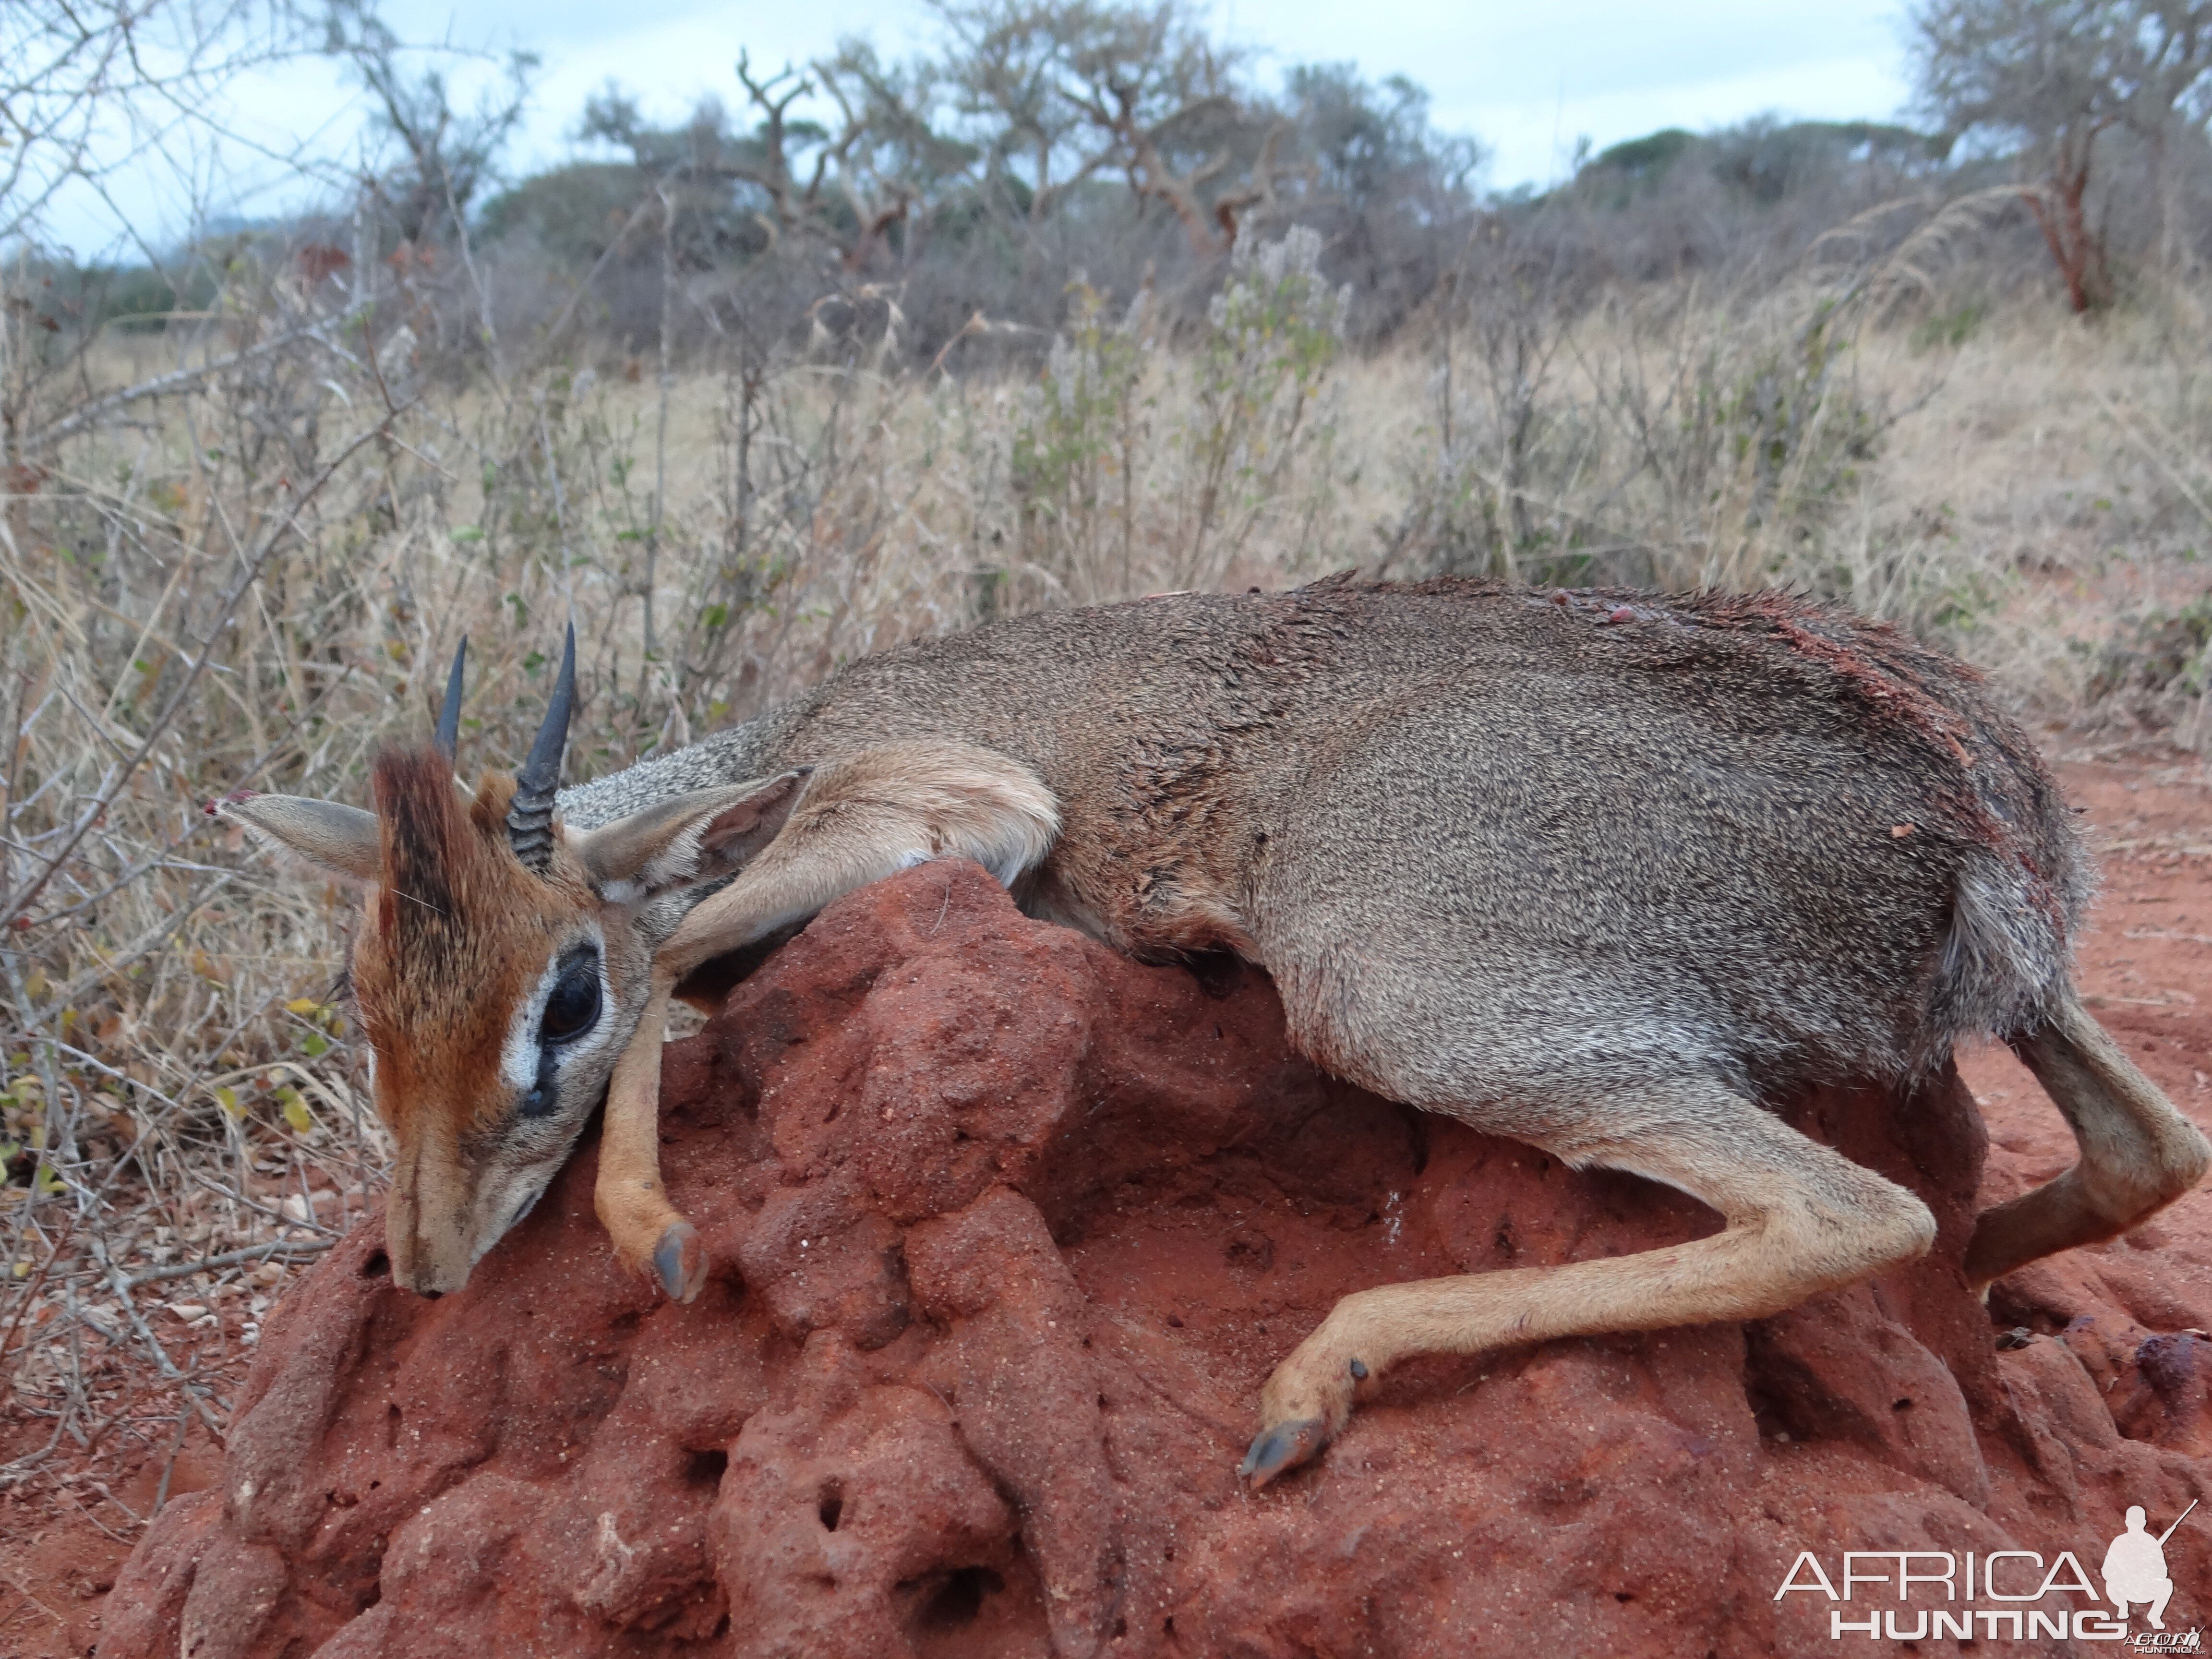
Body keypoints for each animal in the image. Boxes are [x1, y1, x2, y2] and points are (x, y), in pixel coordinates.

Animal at [220, 579, 2212, 1486]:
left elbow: (677, 949)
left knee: (1842, 1211)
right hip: (2014, 987)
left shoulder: (957, 813)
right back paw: (2021, 1299)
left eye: (553, 994)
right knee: (2143, 1139)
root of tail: (1966, 822)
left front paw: (653, 1227)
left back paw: (1308, 1383)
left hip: (1388, 988)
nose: (423, 1258)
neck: (789, 729)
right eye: (367, 1006)